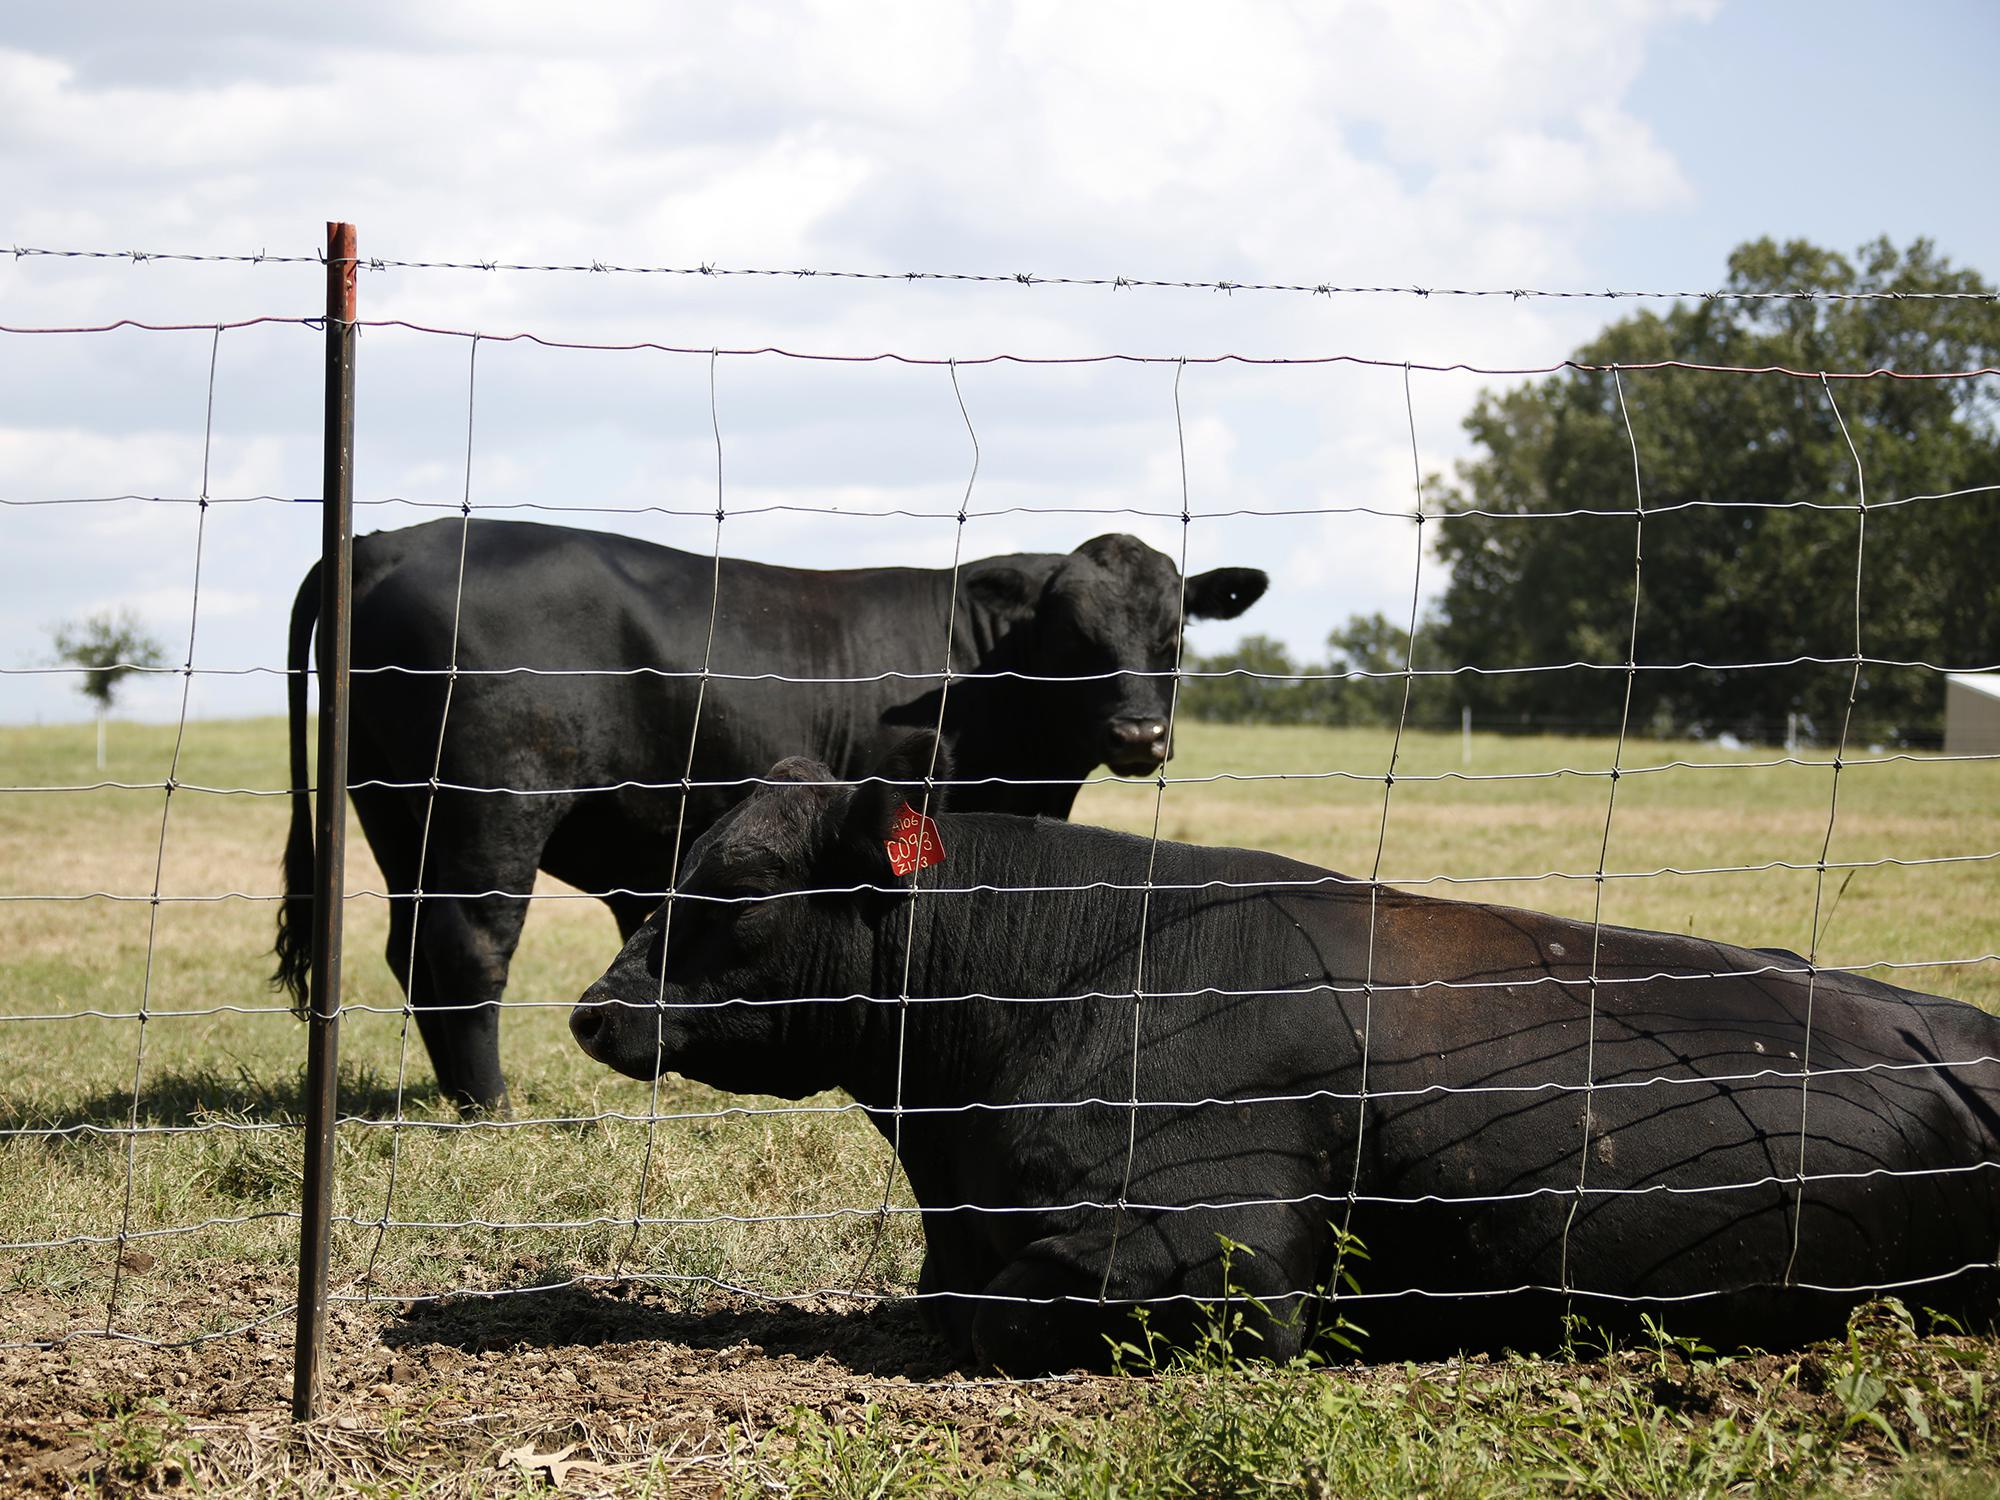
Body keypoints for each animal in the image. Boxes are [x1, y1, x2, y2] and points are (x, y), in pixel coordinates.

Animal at [274, 516, 1264, 1120]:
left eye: (1173, 634)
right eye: (1073, 636)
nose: (1140, 732)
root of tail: (387, 539)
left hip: (394, 812)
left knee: (412, 949)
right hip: (492, 810)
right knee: (466, 948)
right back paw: (494, 1109)